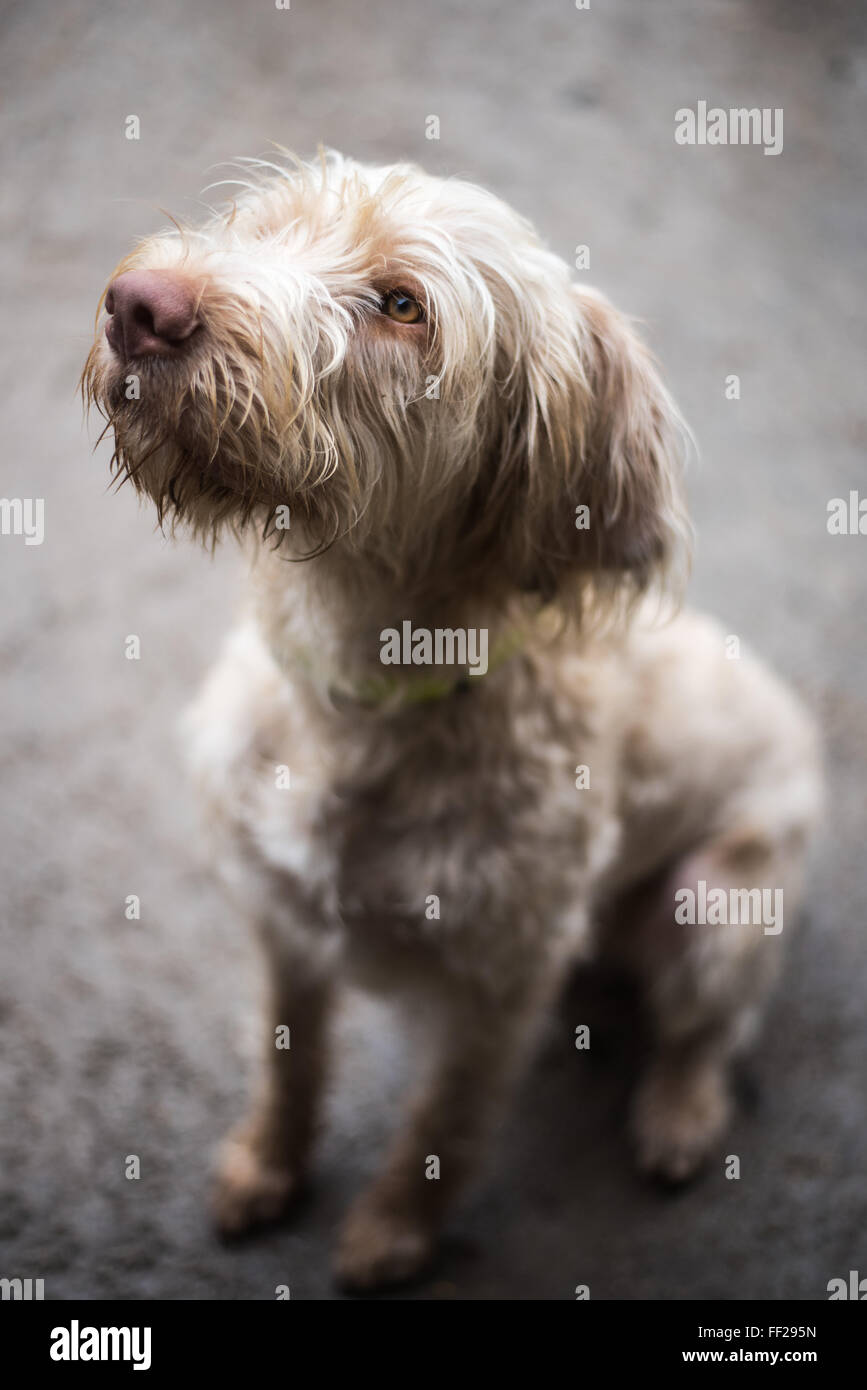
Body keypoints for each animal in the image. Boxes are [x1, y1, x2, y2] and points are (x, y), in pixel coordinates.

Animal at [84, 152, 822, 1289]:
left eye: (402, 306)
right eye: (261, 225)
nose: (140, 305)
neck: (357, 699)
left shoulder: (500, 984)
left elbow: (445, 1121)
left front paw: (394, 1230)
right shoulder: (282, 922)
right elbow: (287, 1059)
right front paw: (265, 1164)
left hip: (718, 905)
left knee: (710, 1031)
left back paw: (678, 1113)